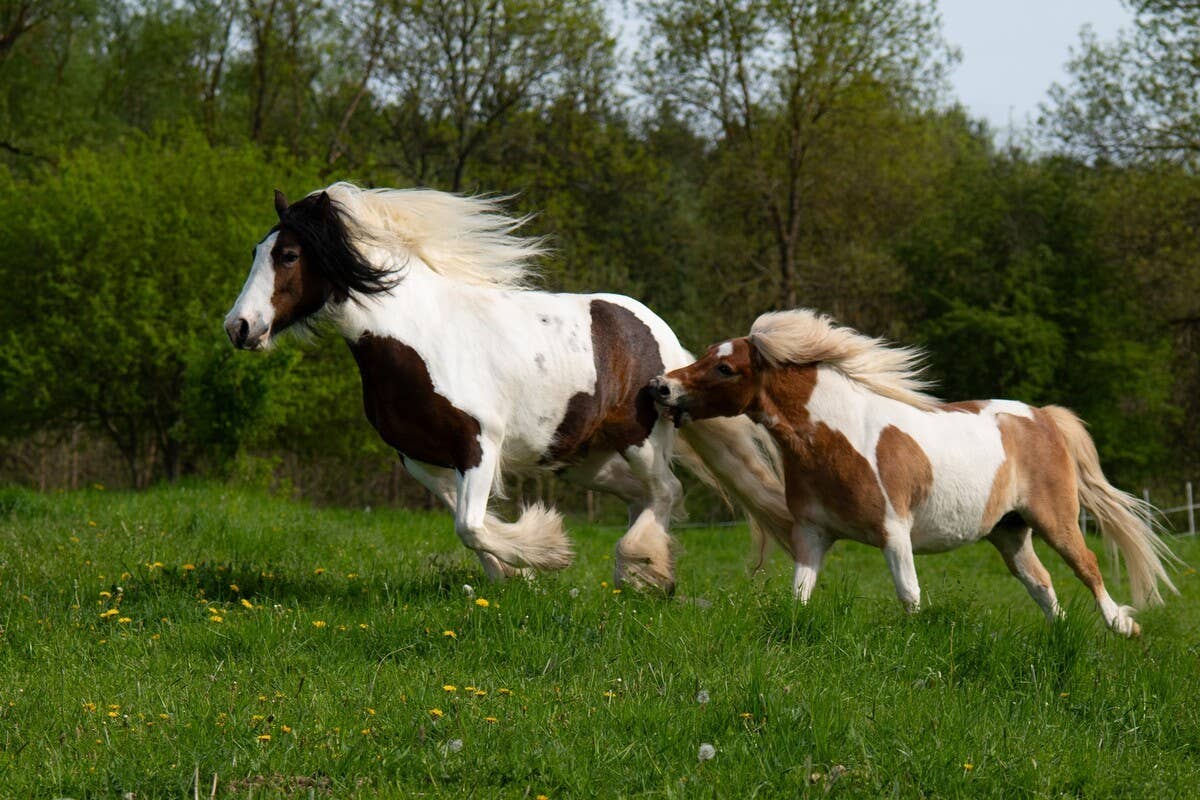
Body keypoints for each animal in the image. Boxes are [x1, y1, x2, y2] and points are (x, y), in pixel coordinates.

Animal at [223, 183, 792, 592]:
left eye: (288, 255)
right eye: (254, 250)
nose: (239, 328)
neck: (414, 338)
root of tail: (658, 335)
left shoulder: (479, 444)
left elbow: (471, 525)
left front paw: (547, 554)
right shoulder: (421, 458)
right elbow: (469, 523)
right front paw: (513, 574)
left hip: (640, 439)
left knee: (667, 490)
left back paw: (642, 569)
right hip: (581, 459)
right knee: (645, 496)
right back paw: (638, 576)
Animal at [650, 308, 1180, 636]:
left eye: (725, 369)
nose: (660, 388)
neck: (837, 439)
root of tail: (1042, 416)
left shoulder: (893, 532)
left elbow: (909, 594)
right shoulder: (812, 535)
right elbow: (799, 594)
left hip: (1055, 519)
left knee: (1087, 567)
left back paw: (1124, 627)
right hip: (1009, 532)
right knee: (1041, 583)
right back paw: (1060, 637)